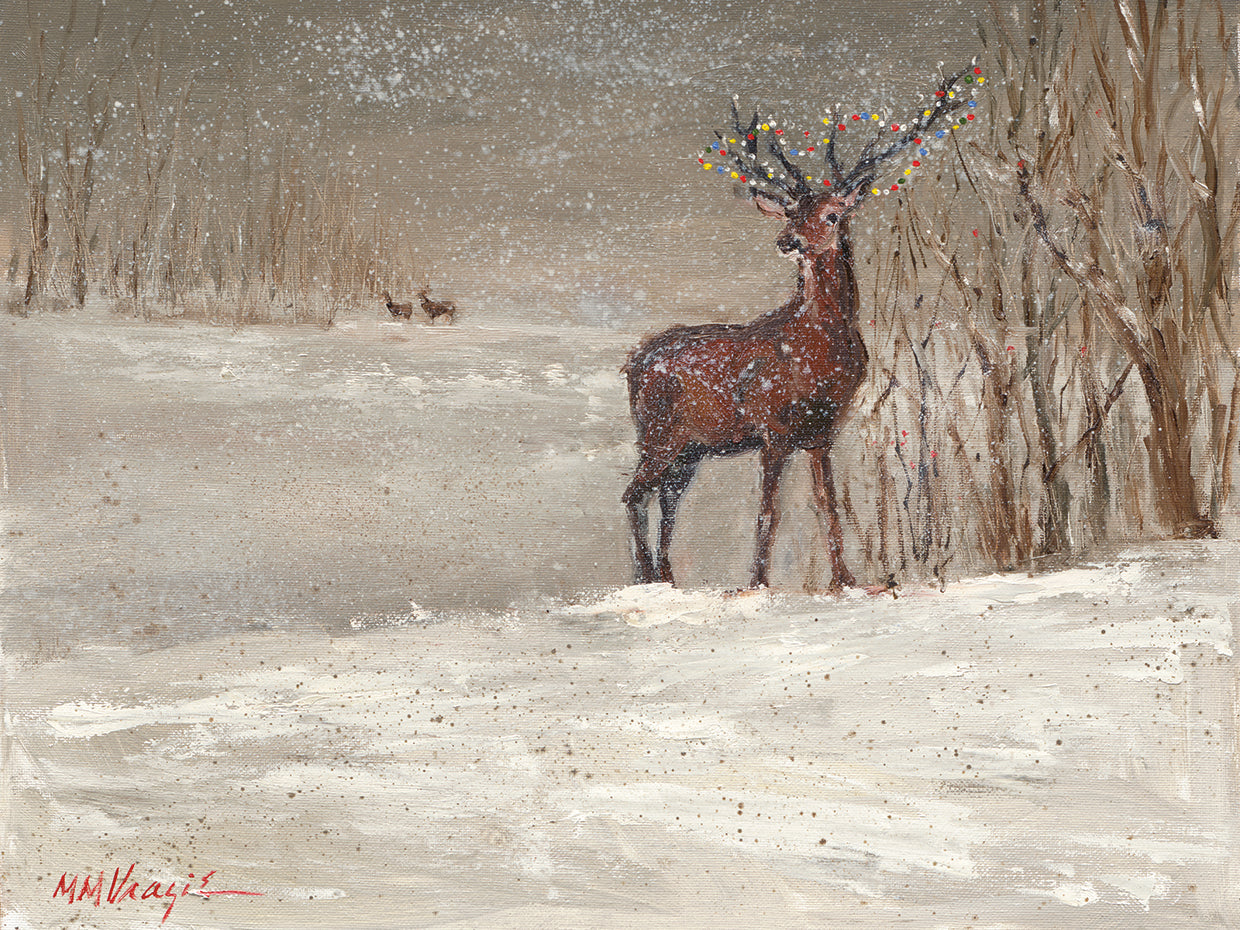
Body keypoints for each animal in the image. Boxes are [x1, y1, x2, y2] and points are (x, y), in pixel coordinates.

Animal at [623, 65, 980, 592]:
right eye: (792, 211)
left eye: (831, 214)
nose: (786, 240)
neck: (820, 348)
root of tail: (633, 362)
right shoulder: (772, 426)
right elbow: (767, 511)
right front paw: (757, 583)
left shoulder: (822, 431)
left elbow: (827, 505)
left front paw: (846, 580)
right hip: (658, 432)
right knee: (633, 494)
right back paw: (645, 576)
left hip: (690, 449)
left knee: (664, 499)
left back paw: (665, 576)